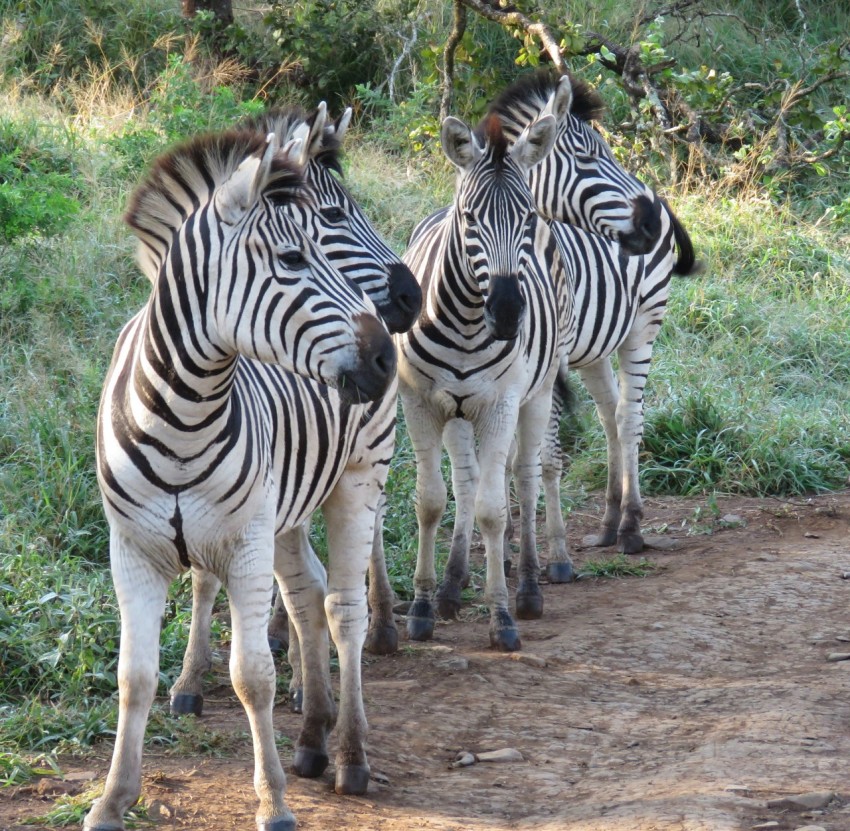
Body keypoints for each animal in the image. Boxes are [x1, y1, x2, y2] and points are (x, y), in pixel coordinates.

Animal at [88, 130, 400, 831]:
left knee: (344, 609)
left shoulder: (245, 542)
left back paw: (351, 754)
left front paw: (273, 803)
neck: (181, 417)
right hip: (286, 510)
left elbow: (253, 674)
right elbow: (133, 677)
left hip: (357, 479)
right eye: (291, 257)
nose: (384, 359)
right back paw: (312, 738)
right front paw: (112, 800)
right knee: (308, 594)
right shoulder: (132, 550)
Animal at [166, 104, 420, 720]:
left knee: (371, 523)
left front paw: (304, 674)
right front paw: (190, 678)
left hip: (364, 448)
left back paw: (377, 625)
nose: (411, 298)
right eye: (334, 213)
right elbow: (208, 578)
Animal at [396, 110, 568, 652]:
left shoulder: (499, 406)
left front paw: (501, 616)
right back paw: (452, 587)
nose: (508, 313)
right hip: (457, 412)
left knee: (527, 478)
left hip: (537, 393)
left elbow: (495, 511)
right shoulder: (421, 403)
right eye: (470, 219)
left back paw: (530, 587)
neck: (468, 323)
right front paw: (423, 607)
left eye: (527, 218)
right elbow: (431, 501)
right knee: (467, 482)